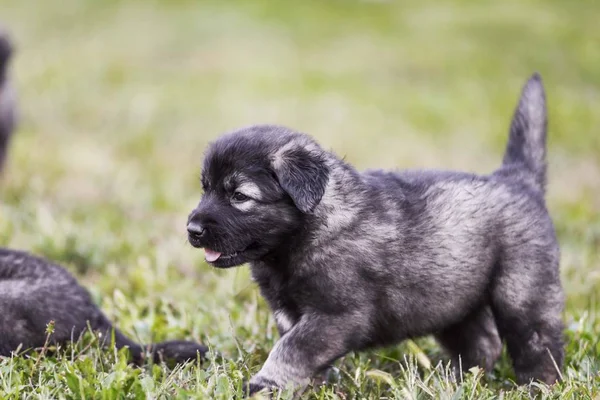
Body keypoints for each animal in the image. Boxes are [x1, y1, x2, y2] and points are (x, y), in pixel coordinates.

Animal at [186, 72, 564, 394]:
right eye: (205, 188)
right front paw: (310, 386)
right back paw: (452, 380)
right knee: (482, 343)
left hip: (522, 293)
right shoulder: (290, 313)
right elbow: (299, 351)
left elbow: (291, 349)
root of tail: (517, 178)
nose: (192, 230)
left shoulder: (335, 316)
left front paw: (265, 384)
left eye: (239, 196)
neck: (309, 229)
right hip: (452, 296)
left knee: (538, 343)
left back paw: (537, 387)